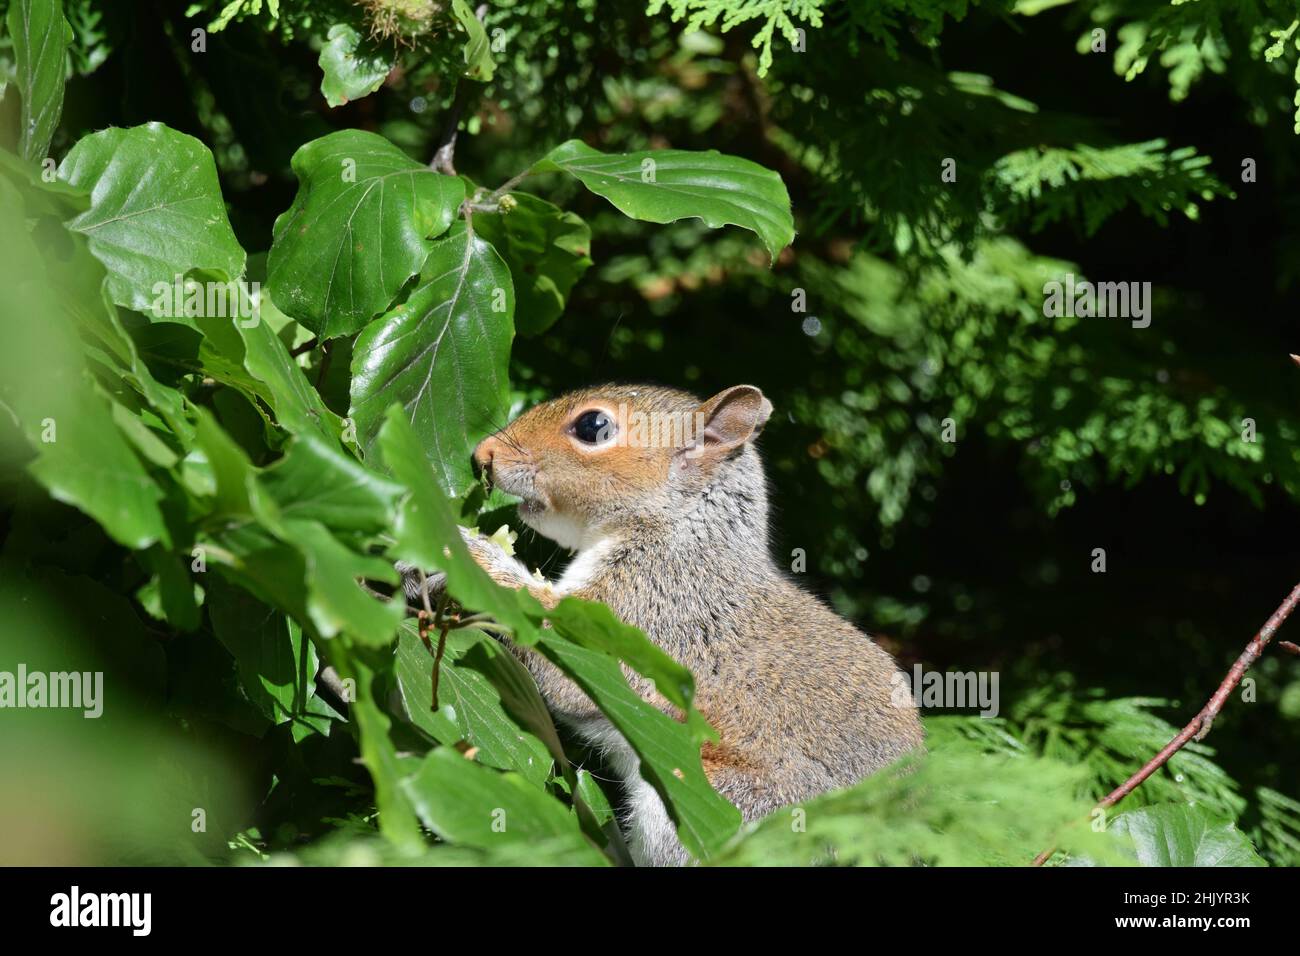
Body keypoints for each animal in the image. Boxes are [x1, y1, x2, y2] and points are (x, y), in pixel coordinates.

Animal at [410, 382, 920, 868]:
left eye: (593, 427)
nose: (482, 454)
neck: (681, 530)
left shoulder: (652, 613)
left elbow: (566, 669)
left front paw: (466, 553)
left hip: (721, 807)